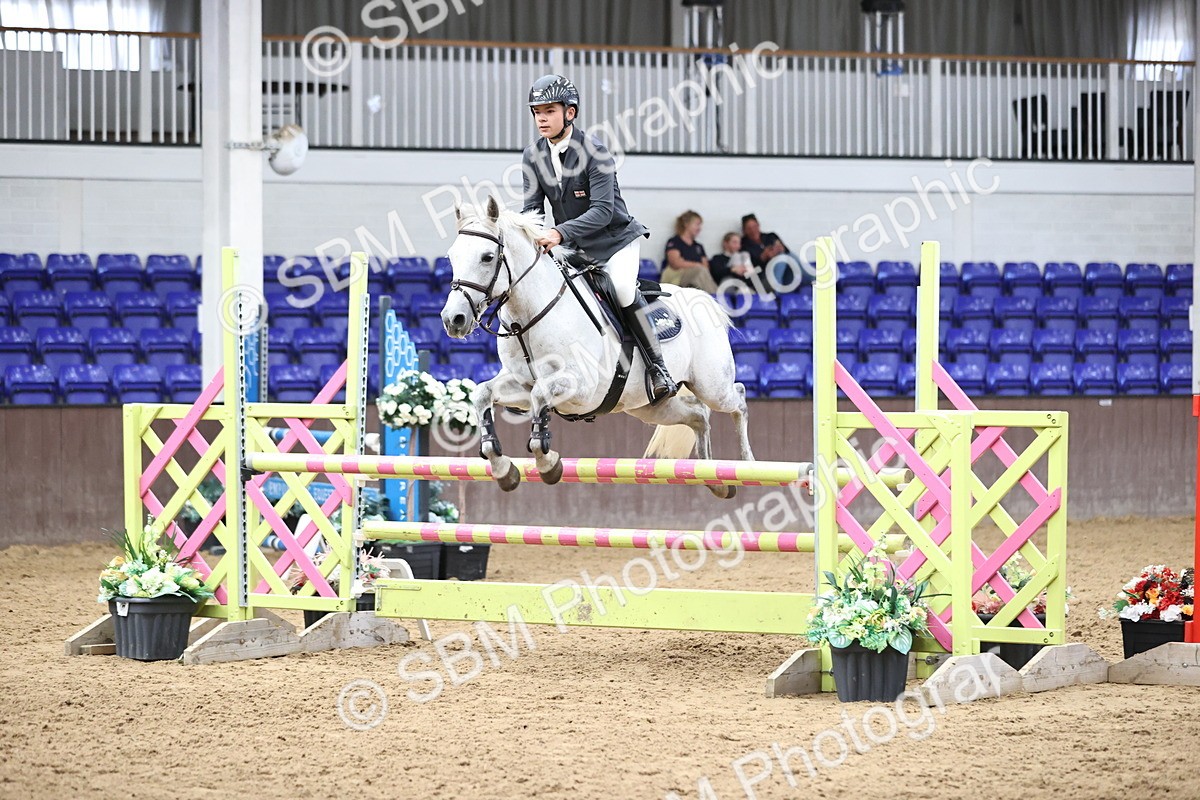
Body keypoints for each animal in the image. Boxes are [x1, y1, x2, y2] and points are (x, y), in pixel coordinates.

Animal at [440, 197, 753, 499]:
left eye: (487, 257)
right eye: (452, 256)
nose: (453, 319)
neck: (529, 316)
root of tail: (703, 298)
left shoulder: (583, 388)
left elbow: (541, 396)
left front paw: (549, 463)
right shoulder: (520, 385)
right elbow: (483, 393)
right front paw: (504, 469)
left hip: (712, 386)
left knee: (737, 398)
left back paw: (748, 464)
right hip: (650, 406)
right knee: (698, 415)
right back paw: (714, 478)